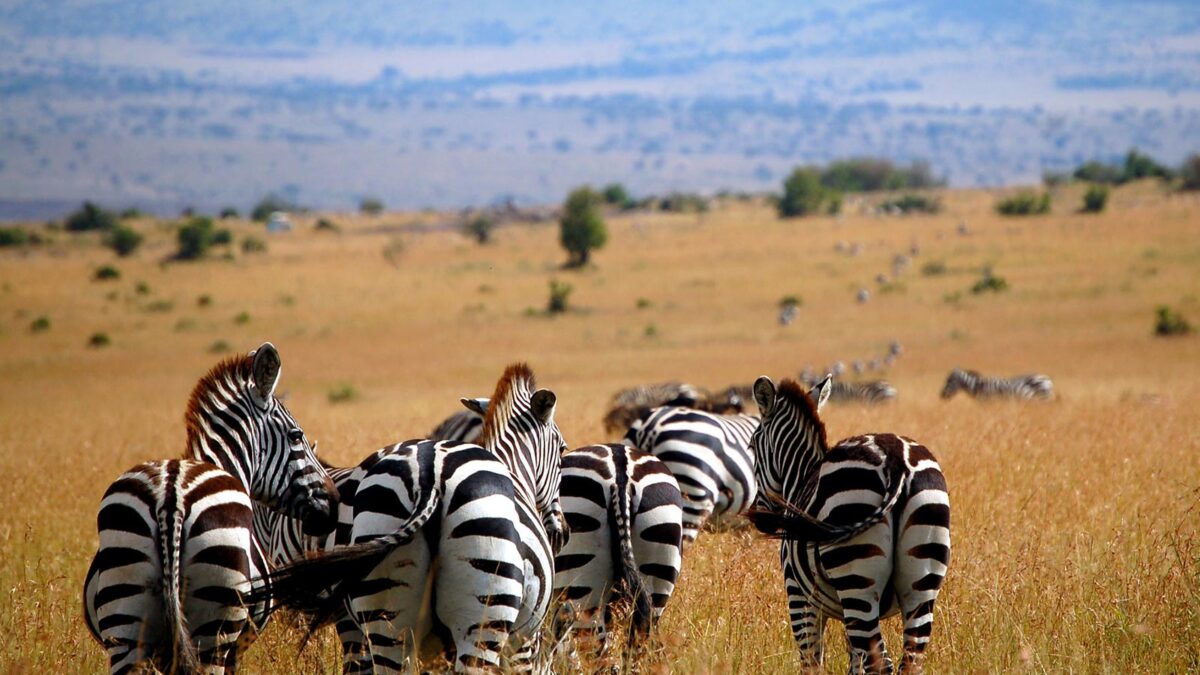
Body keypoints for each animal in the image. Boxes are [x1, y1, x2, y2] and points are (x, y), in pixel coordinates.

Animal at [82, 343, 338, 667]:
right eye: (296, 435)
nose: (334, 503)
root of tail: (171, 499)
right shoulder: (237, 646)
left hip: (125, 629)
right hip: (215, 628)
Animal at [248, 365, 566, 667]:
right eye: (562, 449)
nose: (561, 532)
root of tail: (431, 475)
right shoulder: (525, 644)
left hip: (385, 614)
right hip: (481, 622)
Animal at [744, 374, 950, 667]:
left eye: (751, 446)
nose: (760, 518)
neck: (801, 477)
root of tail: (895, 457)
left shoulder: (799, 597)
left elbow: (811, 662)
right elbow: (855, 663)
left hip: (855, 578)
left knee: (882, 663)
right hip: (922, 580)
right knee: (909, 661)